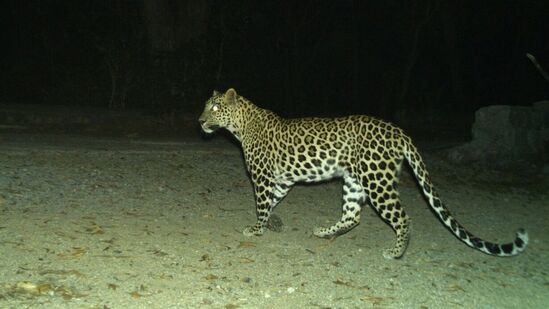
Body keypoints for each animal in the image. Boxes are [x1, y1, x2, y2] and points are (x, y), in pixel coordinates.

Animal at [198, 88, 528, 258]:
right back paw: (325, 232)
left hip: (376, 181)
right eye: (205, 107)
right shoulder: (282, 182)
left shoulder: (263, 178)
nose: (200, 121)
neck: (240, 125)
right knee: (353, 216)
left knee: (402, 217)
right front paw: (269, 224)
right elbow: (274, 202)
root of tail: (399, 131)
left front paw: (257, 229)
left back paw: (395, 252)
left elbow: (262, 204)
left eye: (214, 108)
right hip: (354, 181)